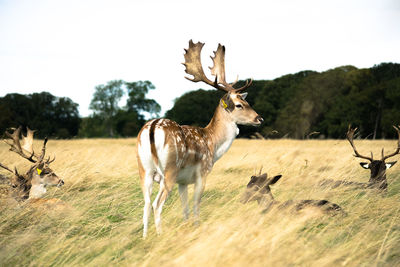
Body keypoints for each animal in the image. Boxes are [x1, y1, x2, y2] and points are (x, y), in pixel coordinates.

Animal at [136, 40, 264, 239]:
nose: (260, 119)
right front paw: (196, 227)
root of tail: (152, 128)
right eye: (239, 105)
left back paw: (145, 238)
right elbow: (196, 204)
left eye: (247, 102)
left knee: (146, 205)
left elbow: (185, 208)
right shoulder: (202, 172)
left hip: (144, 170)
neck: (212, 143)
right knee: (157, 204)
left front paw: (187, 226)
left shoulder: (183, 182)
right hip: (169, 171)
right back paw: (160, 235)